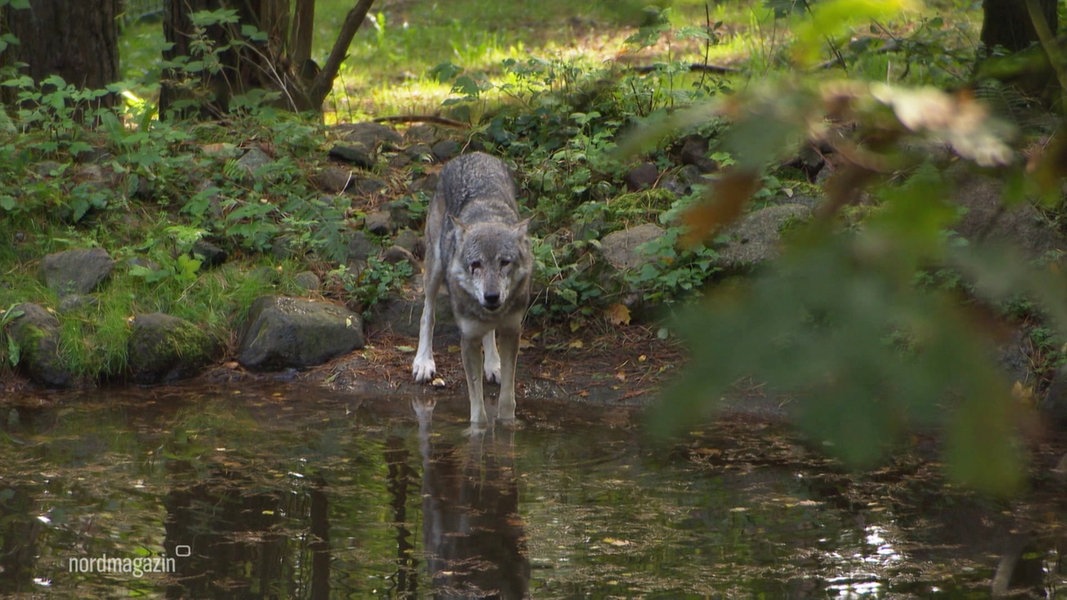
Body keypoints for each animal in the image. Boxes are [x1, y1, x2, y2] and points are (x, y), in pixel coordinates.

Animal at [409, 153, 531, 424]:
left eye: (504, 262)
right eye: (475, 264)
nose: (491, 296)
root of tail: (472, 154)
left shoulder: (512, 330)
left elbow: (507, 397)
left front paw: (508, 425)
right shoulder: (468, 339)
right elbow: (477, 408)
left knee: (490, 334)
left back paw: (493, 365)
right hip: (434, 270)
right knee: (427, 314)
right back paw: (423, 362)